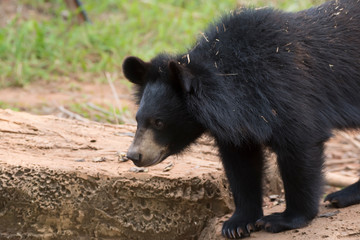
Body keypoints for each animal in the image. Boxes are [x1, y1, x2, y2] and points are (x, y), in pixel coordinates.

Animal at [123, 0, 360, 238]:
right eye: (138, 119)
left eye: (159, 122)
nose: (134, 155)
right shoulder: (237, 124)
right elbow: (241, 165)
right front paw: (238, 224)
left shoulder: (286, 92)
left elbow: (300, 146)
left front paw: (283, 219)